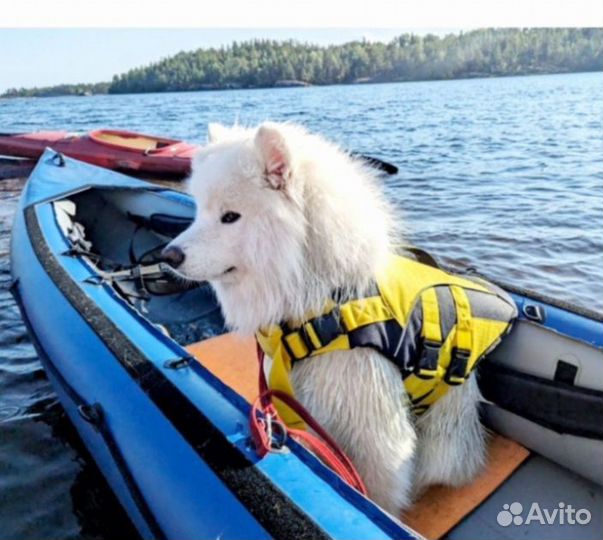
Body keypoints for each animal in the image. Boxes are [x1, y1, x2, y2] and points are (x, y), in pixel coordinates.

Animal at [163, 122, 488, 516]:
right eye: (199, 210)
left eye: (230, 216)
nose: (168, 255)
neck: (320, 298)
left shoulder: (375, 427)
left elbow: (377, 490)